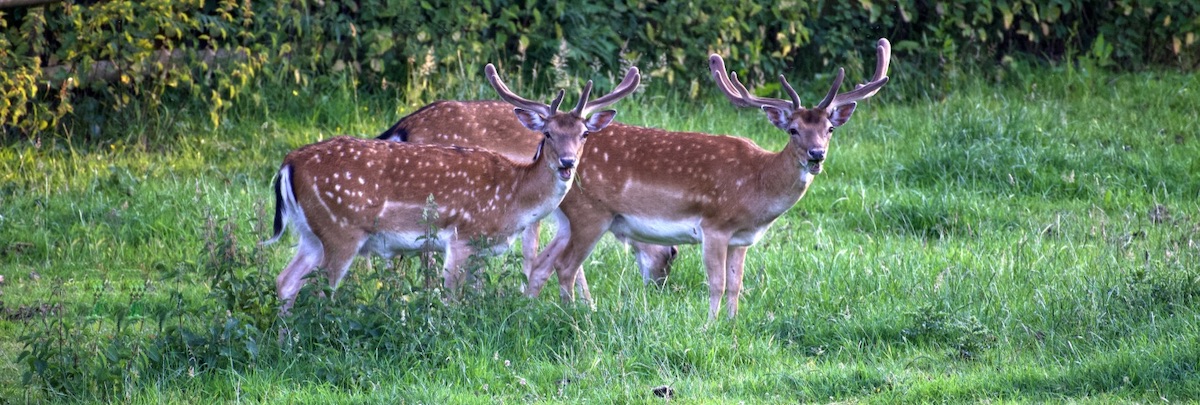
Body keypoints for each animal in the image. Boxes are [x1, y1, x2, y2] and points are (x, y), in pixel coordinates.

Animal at [262, 63, 638, 311]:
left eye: (584, 134)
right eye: (547, 134)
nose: (567, 163)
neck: (514, 196)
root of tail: (287, 165)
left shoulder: (484, 247)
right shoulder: (461, 236)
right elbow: (450, 298)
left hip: (312, 235)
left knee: (286, 281)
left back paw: (285, 342)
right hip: (341, 231)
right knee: (319, 291)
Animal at [528, 38, 892, 318]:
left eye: (829, 129)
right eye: (793, 129)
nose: (817, 155)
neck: (757, 185)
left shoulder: (741, 239)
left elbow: (736, 285)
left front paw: (732, 324)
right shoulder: (714, 225)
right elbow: (716, 283)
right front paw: (709, 326)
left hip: (568, 217)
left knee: (544, 262)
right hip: (591, 213)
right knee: (565, 266)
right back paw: (574, 316)